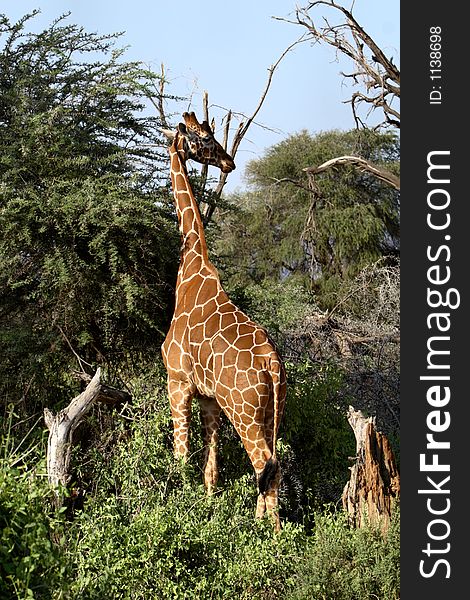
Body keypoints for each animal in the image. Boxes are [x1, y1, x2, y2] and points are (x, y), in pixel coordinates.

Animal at [162, 112, 286, 528]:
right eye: (203, 138)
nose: (228, 162)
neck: (191, 267)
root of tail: (272, 363)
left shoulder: (177, 382)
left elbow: (181, 458)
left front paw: (179, 510)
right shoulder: (210, 399)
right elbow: (211, 469)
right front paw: (206, 510)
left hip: (244, 412)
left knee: (265, 464)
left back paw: (274, 538)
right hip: (270, 411)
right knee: (271, 465)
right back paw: (260, 525)